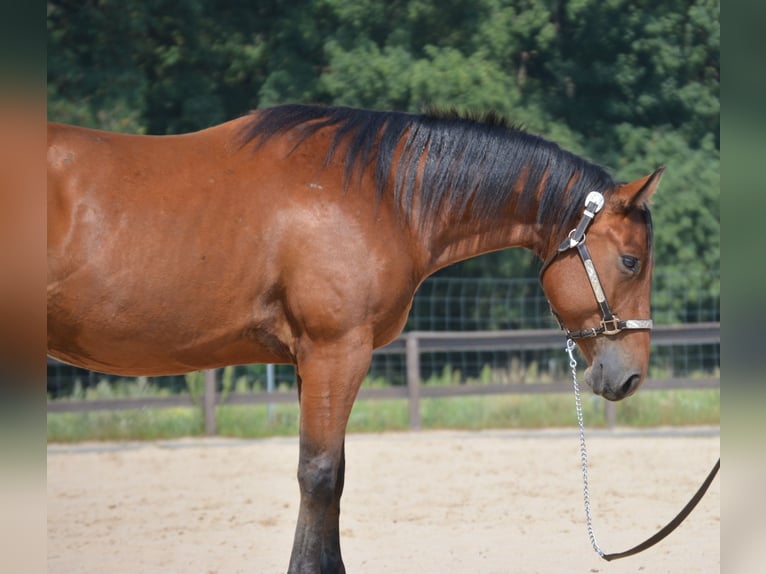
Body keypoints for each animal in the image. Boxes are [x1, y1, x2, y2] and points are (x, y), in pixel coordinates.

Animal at [47, 104, 663, 573]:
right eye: (631, 261)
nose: (631, 374)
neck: (383, 194)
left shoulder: (312, 360)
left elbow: (335, 475)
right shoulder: (335, 350)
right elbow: (318, 475)